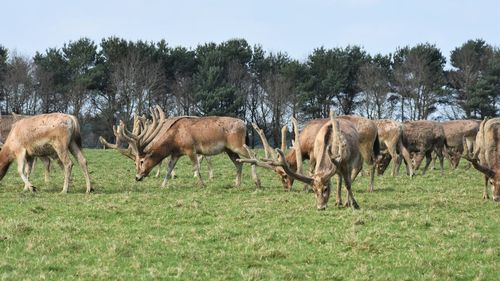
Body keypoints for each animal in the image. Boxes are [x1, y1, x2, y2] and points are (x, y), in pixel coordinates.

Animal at [115, 105, 260, 188]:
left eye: (141, 161)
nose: (137, 177)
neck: (174, 139)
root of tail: (244, 124)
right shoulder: (176, 153)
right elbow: (169, 168)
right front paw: (163, 185)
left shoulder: (190, 148)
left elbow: (195, 166)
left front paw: (202, 184)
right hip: (229, 149)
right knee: (239, 163)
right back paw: (237, 184)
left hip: (238, 144)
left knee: (253, 154)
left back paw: (257, 181)